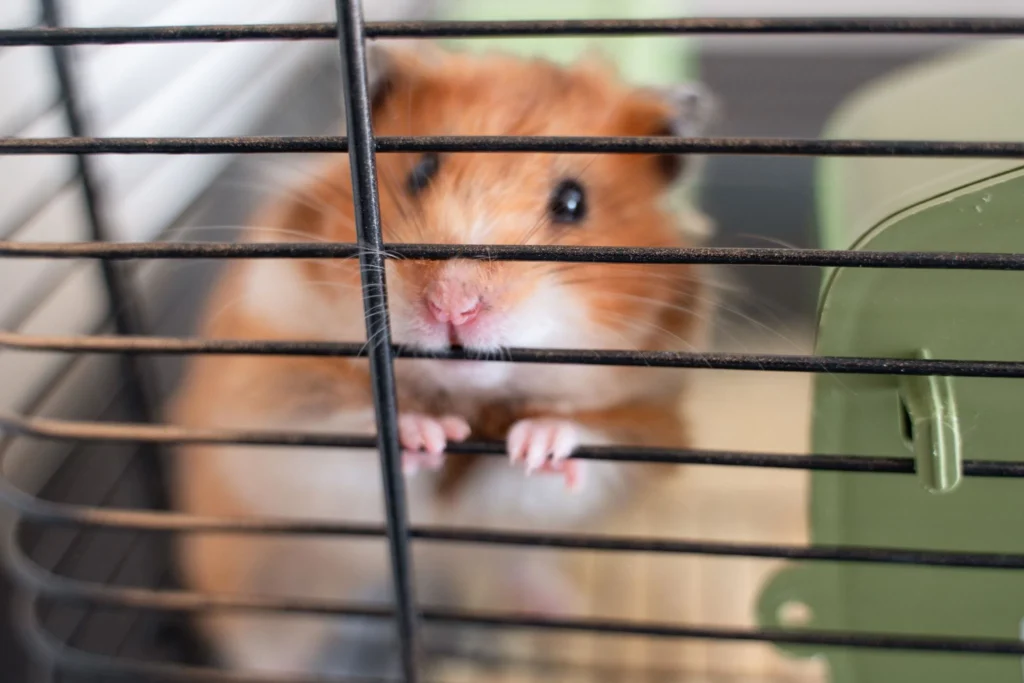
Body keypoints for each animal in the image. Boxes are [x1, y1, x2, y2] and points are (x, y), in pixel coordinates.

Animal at [167, 43, 715, 676]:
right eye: (421, 170)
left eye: (573, 202)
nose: (453, 304)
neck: (464, 394)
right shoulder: (275, 401)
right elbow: (352, 429)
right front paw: (427, 434)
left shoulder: (645, 424)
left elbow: (571, 448)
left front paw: (537, 443)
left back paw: (552, 605)